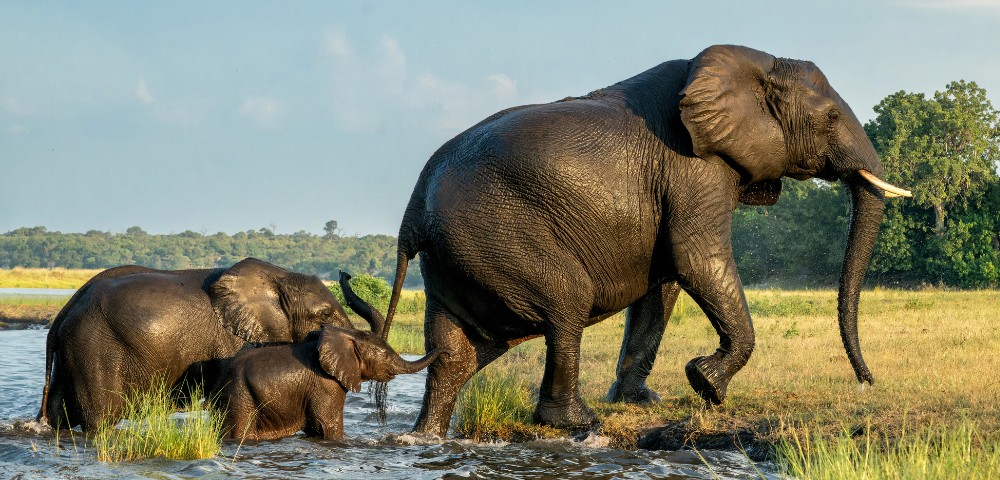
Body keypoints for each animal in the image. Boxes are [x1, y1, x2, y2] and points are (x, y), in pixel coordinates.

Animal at [37, 257, 356, 431]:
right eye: (324, 315)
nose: (346, 273)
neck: (280, 276)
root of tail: (65, 311)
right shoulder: (231, 341)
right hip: (94, 348)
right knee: (100, 417)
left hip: (74, 350)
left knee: (59, 414)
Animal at [215, 324, 443, 441]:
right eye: (386, 356)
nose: (446, 351)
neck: (348, 335)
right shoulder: (326, 385)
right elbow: (327, 425)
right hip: (239, 394)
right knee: (237, 430)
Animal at [374, 44, 912, 435]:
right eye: (830, 119)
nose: (867, 382)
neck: (753, 63)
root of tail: (413, 208)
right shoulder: (693, 166)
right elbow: (697, 259)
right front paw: (707, 386)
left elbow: (665, 284)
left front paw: (643, 400)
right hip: (496, 235)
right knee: (566, 304)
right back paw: (576, 422)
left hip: (457, 254)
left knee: (459, 351)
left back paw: (424, 437)